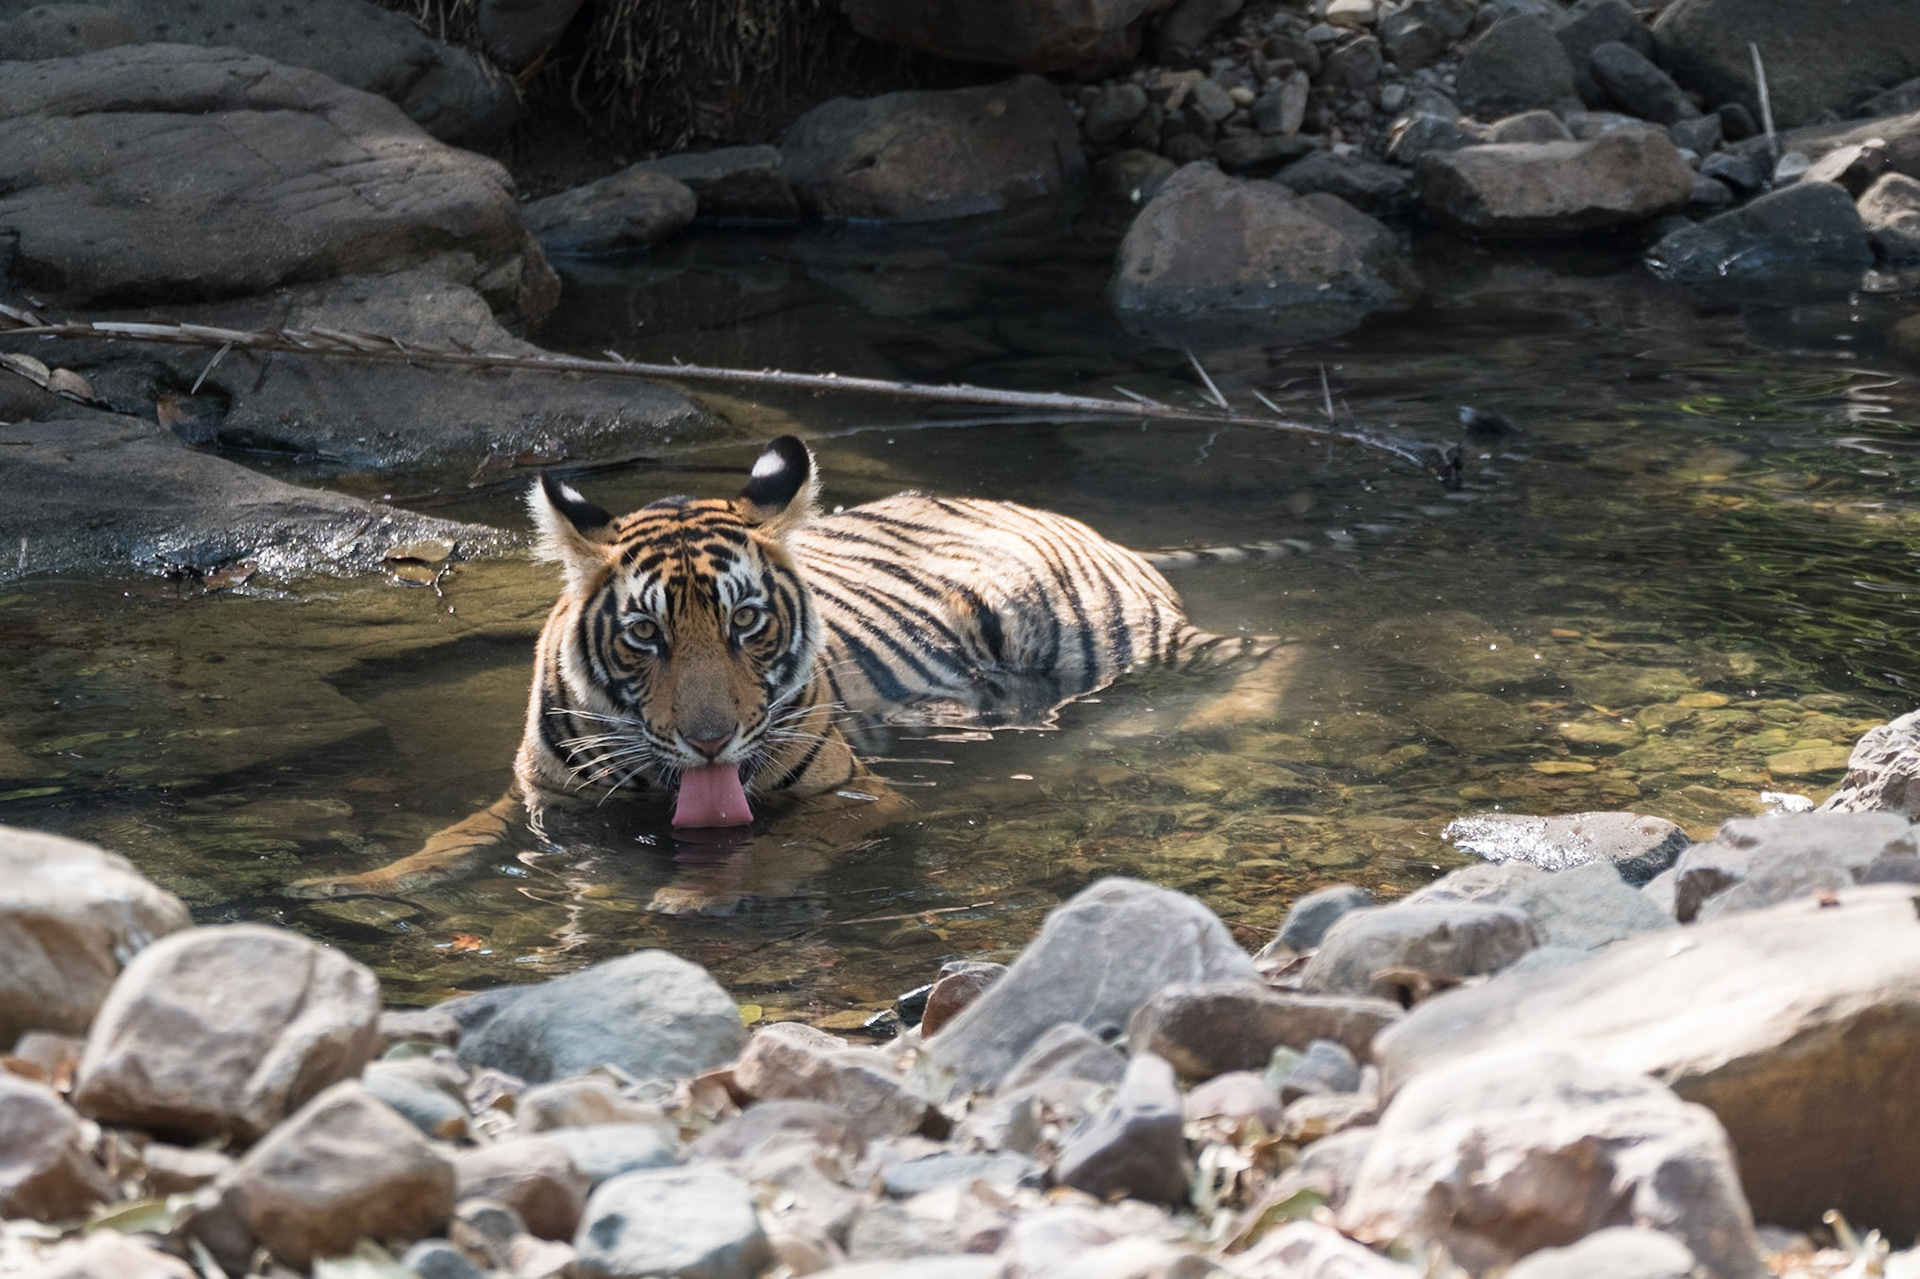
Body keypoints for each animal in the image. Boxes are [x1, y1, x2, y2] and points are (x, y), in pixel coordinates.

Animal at [297, 435, 1296, 906]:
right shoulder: (542, 799)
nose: (709, 741)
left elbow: (774, 847)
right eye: (645, 635)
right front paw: (349, 885)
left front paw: (687, 897)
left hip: (1110, 636)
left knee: (1273, 651)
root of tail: (1083, 521)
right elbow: (453, 838)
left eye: (745, 622)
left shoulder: (856, 795)